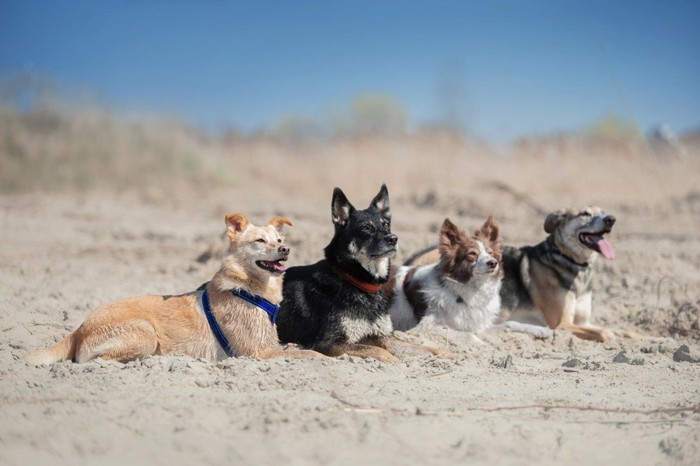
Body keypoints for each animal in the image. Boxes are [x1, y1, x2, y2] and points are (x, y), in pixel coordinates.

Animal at [26, 214, 322, 364]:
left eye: (279, 239)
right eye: (260, 241)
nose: (286, 249)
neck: (248, 287)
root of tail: (79, 329)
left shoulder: (270, 344)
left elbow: (296, 348)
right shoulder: (256, 353)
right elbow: (307, 353)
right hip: (145, 332)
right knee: (91, 362)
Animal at [276, 184, 446, 362]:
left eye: (386, 224)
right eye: (366, 228)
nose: (393, 239)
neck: (356, 281)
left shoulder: (382, 336)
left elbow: (425, 348)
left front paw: (451, 355)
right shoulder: (328, 343)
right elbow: (380, 352)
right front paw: (395, 361)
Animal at [404, 208, 628, 342]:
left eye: (603, 212)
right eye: (585, 213)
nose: (611, 219)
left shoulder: (582, 322)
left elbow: (621, 330)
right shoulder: (561, 323)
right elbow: (605, 333)